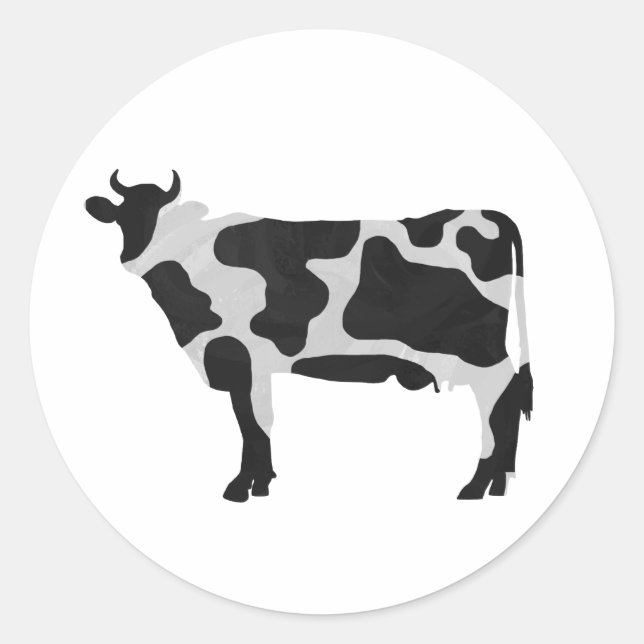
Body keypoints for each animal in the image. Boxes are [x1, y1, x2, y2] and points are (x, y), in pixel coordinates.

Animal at [85, 170, 533, 503]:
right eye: (123, 214)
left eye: (164, 213)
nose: (134, 255)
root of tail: (490, 212)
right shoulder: (255, 364)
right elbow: (259, 419)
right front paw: (262, 482)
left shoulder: (237, 354)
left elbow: (251, 422)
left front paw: (240, 487)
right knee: (507, 395)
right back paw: (497, 484)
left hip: (476, 347)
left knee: (497, 399)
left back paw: (476, 485)